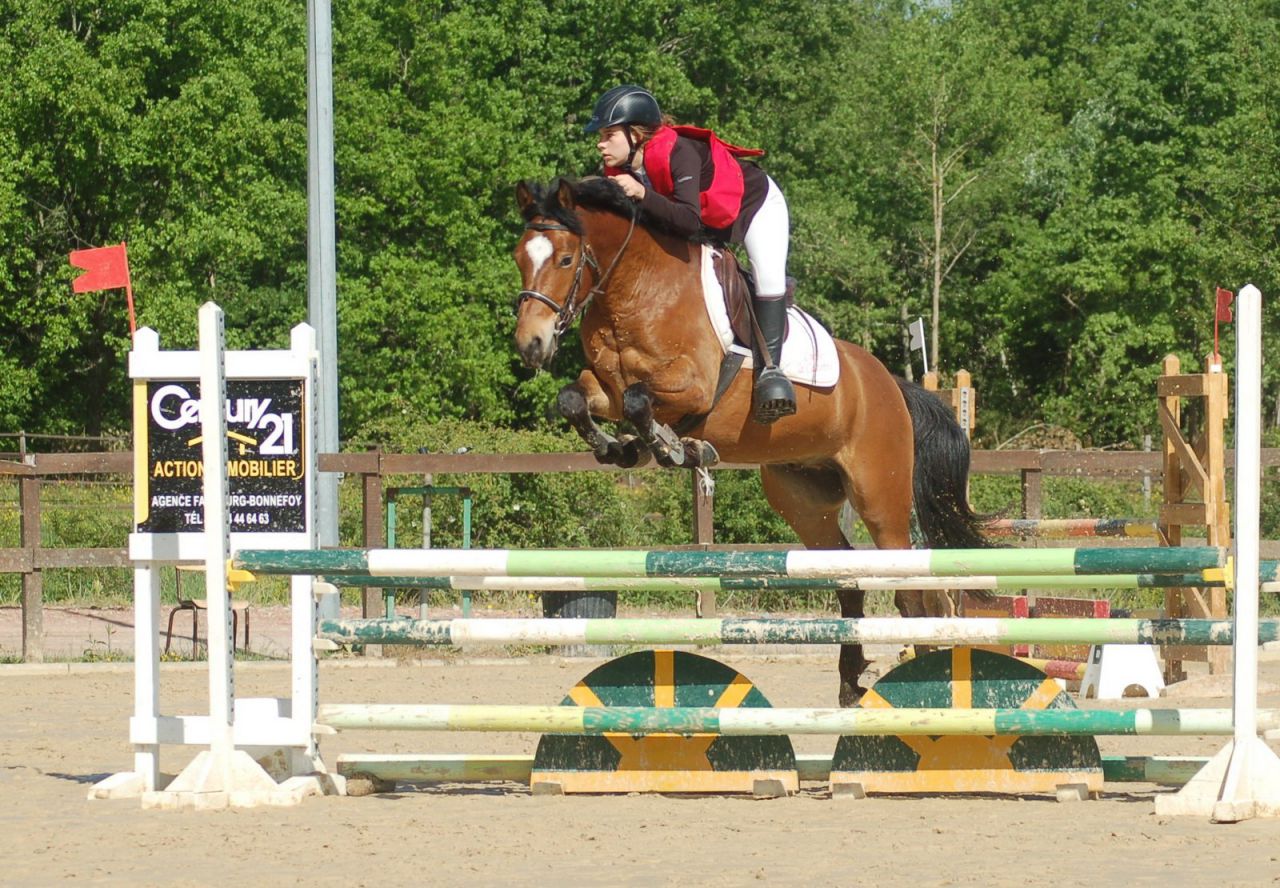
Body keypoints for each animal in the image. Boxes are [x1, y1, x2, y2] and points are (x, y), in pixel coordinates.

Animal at [512, 176, 992, 706]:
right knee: (847, 574)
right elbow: (574, 399)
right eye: (519, 257)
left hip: (879, 494)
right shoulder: (605, 389)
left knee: (909, 589)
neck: (634, 289)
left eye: (565, 260)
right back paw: (850, 684)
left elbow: (641, 401)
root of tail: (891, 384)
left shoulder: (693, 386)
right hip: (802, 499)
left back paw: (917, 684)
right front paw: (620, 448)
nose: (530, 344)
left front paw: (675, 446)